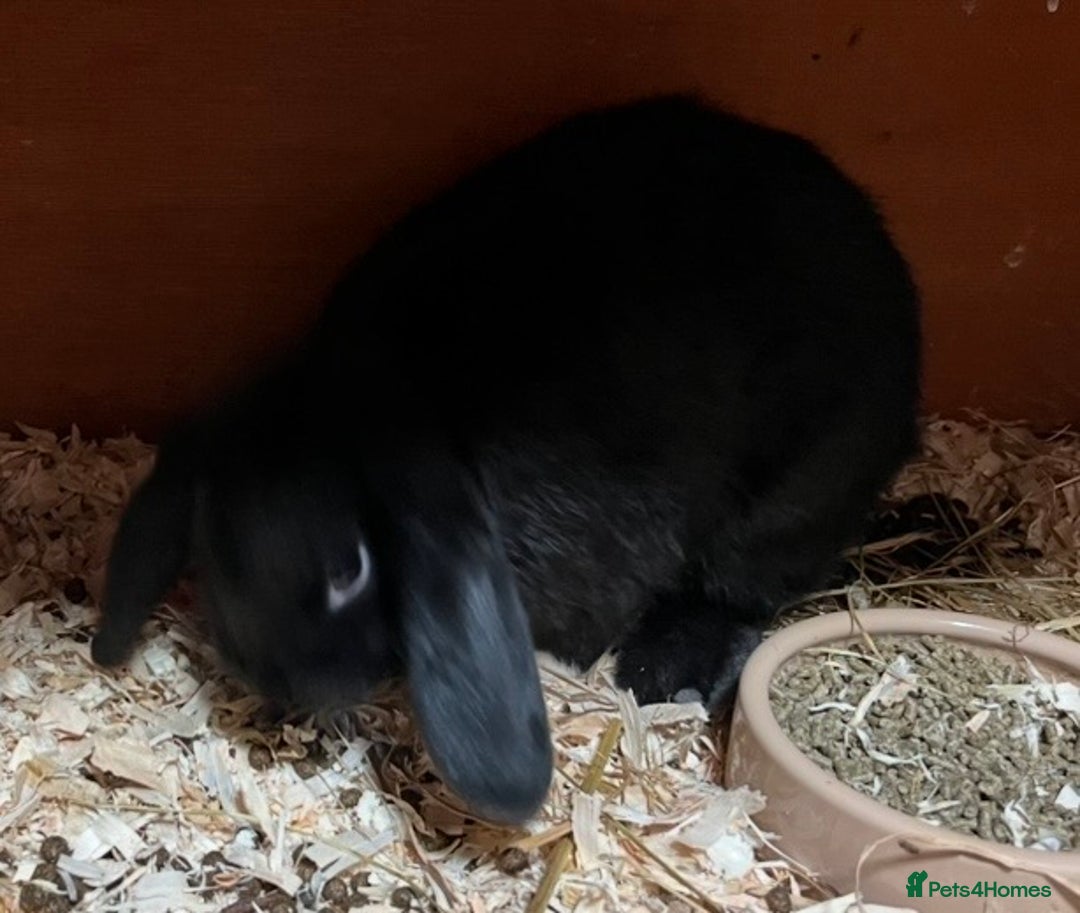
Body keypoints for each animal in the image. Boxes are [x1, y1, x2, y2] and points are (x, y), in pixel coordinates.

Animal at [92, 94, 921, 825]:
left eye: (351, 568)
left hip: (798, 488)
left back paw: (668, 676)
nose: (289, 682)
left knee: (743, 586)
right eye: (212, 555)